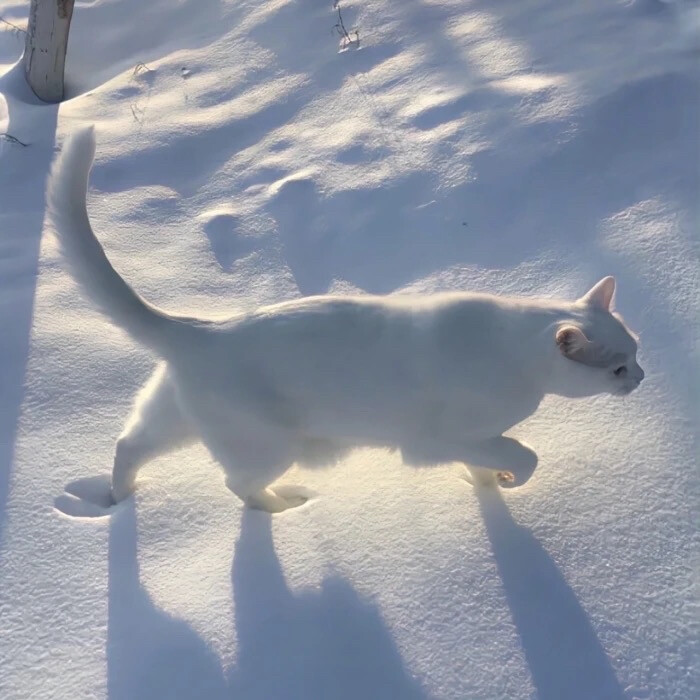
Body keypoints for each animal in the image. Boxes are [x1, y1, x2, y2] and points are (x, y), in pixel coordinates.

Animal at [46, 127, 644, 508]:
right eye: (618, 367)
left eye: (637, 353)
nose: (640, 378)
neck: (514, 351)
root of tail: (200, 330)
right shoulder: (437, 440)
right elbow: (525, 454)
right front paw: (510, 480)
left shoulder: (471, 438)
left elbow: (489, 461)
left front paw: (489, 487)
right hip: (266, 446)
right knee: (237, 487)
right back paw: (286, 506)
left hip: (174, 417)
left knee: (129, 444)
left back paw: (118, 499)